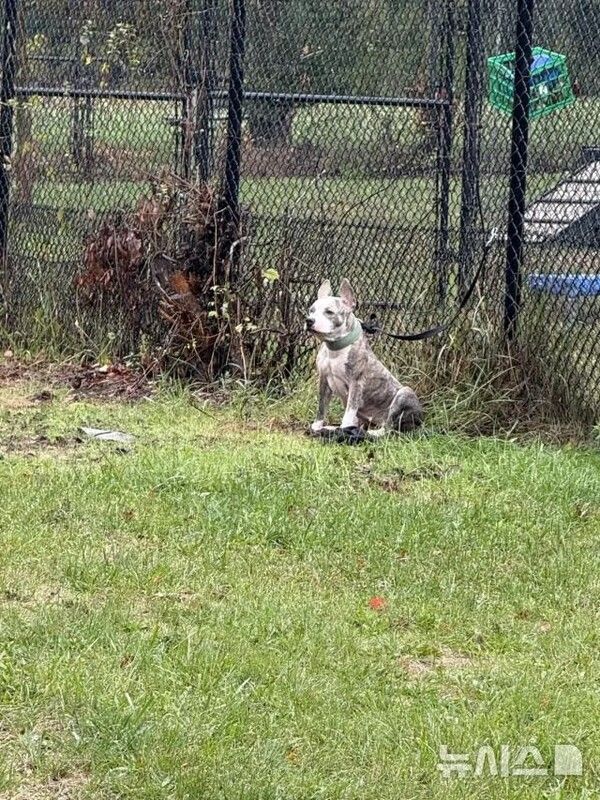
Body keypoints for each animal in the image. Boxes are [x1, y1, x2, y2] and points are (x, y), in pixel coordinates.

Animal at [306, 279, 423, 436]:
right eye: (311, 310)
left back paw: (368, 433)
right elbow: (321, 407)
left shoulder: (356, 382)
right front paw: (317, 426)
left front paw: (344, 429)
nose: (309, 321)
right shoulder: (323, 380)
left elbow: (349, 411)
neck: (335, 348)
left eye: (329, 312)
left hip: (404, 393)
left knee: (388, 428)